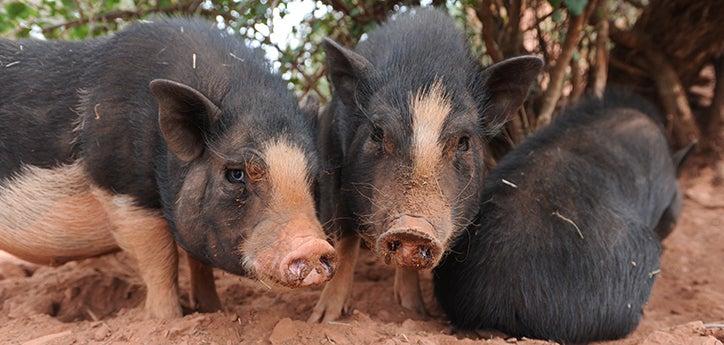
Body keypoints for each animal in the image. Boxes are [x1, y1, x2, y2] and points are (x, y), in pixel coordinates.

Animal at [0, 18, 336, 318]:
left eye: (315, 180)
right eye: (235, 174)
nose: (314, 246)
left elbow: (198, 261)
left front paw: (214, 310)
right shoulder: (126, 191)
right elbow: (162, 260)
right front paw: (168, 319)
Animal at [310, 8, 544, 322]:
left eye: (464, 141)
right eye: (377, 132)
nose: (412, 229)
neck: (425, 63)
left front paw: (415, 313)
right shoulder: (340, 174)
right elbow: (346, 242)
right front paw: (323, 319)